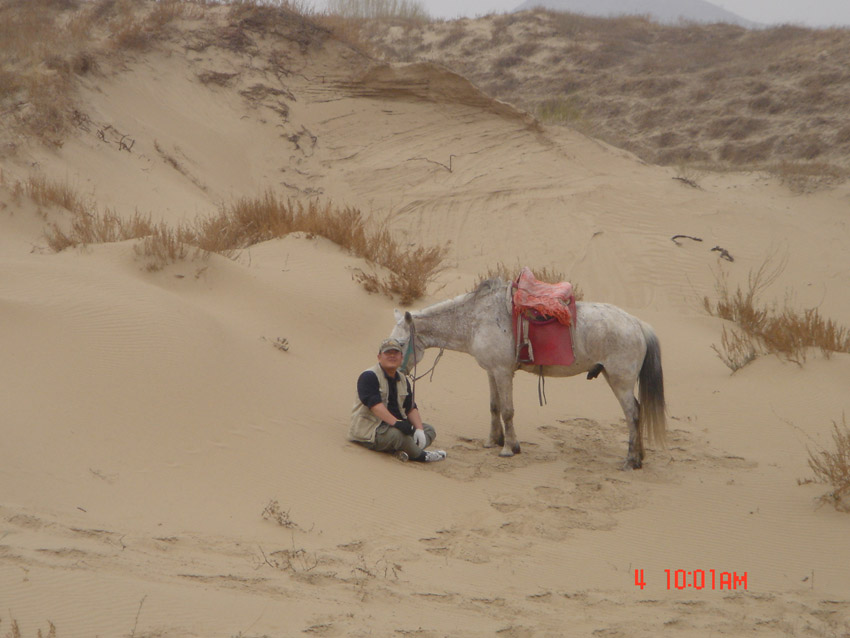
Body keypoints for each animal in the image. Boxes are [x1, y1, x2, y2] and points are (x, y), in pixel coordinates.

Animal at [390, 280, 664, 470]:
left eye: (401, 344)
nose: (396, 372)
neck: (476, 319)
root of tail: (638, 324)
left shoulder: (503, 372)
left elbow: (508, 411)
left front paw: (509, 448)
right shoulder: (492, 372)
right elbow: (494, 407)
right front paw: (493, 440)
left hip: (620, 382)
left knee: (633, 414)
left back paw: (630, 460)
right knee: (637, 412)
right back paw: (639, 458)